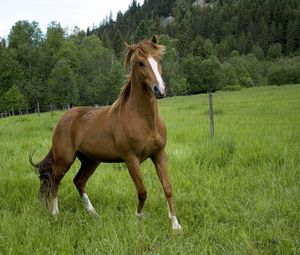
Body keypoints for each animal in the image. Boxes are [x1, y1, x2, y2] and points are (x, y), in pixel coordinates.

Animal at [29, 35, 180, 229]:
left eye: (158, 59)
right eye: (140, 63)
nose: (159, 89)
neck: (144, 121)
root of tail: (63, 119)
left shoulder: (159, 154)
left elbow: (167, 188)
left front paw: (175, 225)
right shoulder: (131, 159)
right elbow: (142, 191)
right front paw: (138, 218)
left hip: (90, 161)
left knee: (78, 181)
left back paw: (93, 214)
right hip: (65, 159)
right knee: (54, 180)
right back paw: (55, 214)